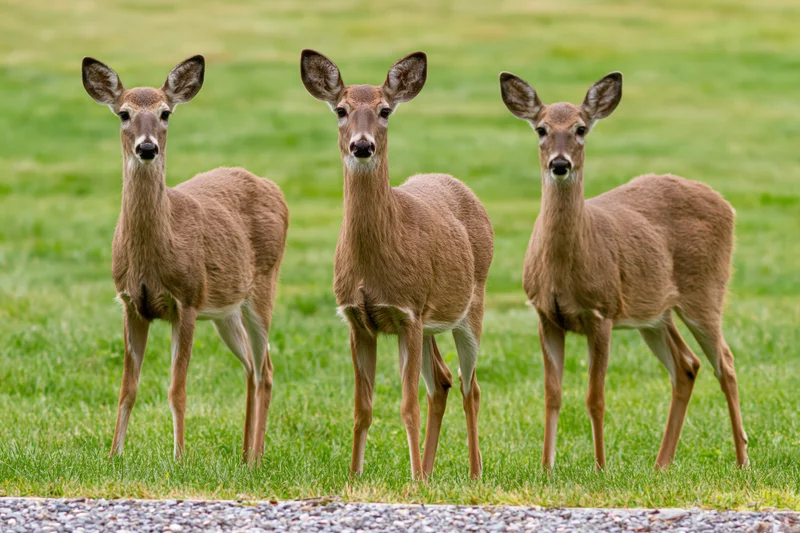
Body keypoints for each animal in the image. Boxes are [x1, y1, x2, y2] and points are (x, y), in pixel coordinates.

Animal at [81, 55, 288, 464]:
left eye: (165, 113)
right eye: (124, 113)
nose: (147, 148)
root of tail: (275, 188)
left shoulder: (187, 300)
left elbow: (177, 389)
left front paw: (179, 458)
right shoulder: (130, 303)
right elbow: (127, 388)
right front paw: (113, 455)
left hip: (263, 286)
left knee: (267, 368)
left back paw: (256, 457)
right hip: (225, 311)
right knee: (251, 367)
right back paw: (244, 455)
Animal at [300, 50, 493, 480]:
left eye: (384, 110)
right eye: (341, 109)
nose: (362, 145)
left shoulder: (407, 312)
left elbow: (408, 406)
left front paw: (414, 481)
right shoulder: (358, 320)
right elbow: (362, 408)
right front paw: (354, 476)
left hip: (470, 306)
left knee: (469, 385)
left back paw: (472, 472)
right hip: (430, 323)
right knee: (441, 381)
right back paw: (431, 469)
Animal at [499, 70, 749, 471]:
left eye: (581, 129)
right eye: (541, 129)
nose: (560, 164)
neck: (562, 270)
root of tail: (727, 204)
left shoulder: (601, 311)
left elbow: (595, 396)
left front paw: (600, 467)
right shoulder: (545, 314)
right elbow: (552, 395)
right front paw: (546, 468)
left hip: (706, 290)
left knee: (724, 362)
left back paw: (742, 458)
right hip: (655, 313)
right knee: (687, 365)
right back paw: (662, 464)